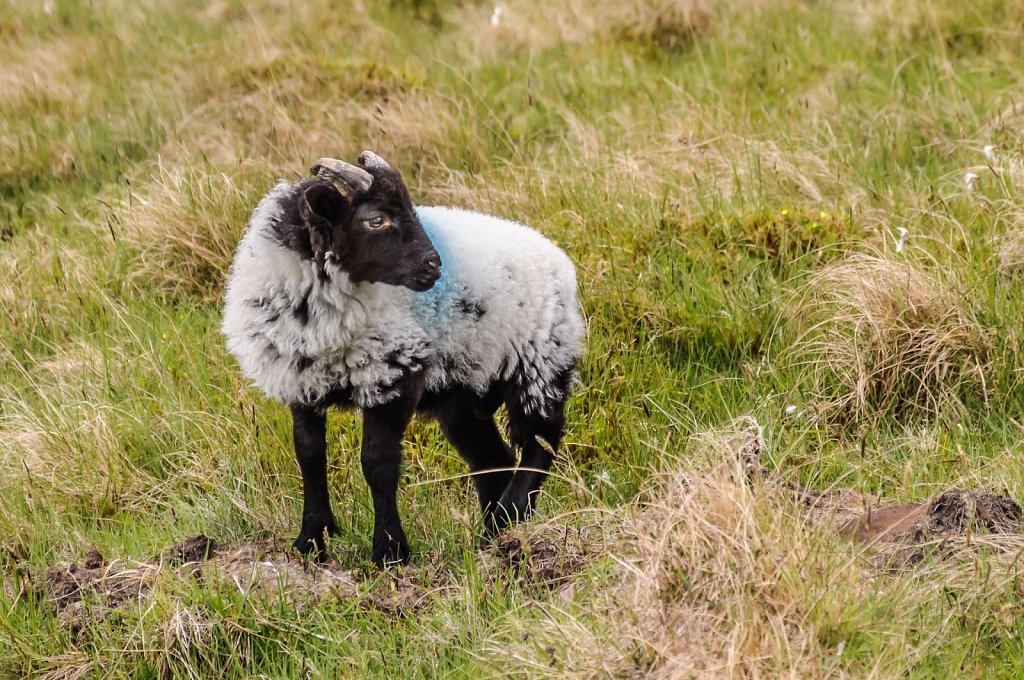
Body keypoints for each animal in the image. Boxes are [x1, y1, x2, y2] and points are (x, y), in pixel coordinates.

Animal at [222, 151, 584, 565]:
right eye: (375, 220)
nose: (433, 266)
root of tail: (559, 261)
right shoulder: (302, 382)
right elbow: (309, 456)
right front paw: (311, 540)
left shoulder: (394, 373)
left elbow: (377, 462)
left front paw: (389, 550)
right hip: (465, 395)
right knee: (493, 459)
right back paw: (494, 533)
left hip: (540, 363)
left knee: (540, 443)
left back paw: (506, 518)